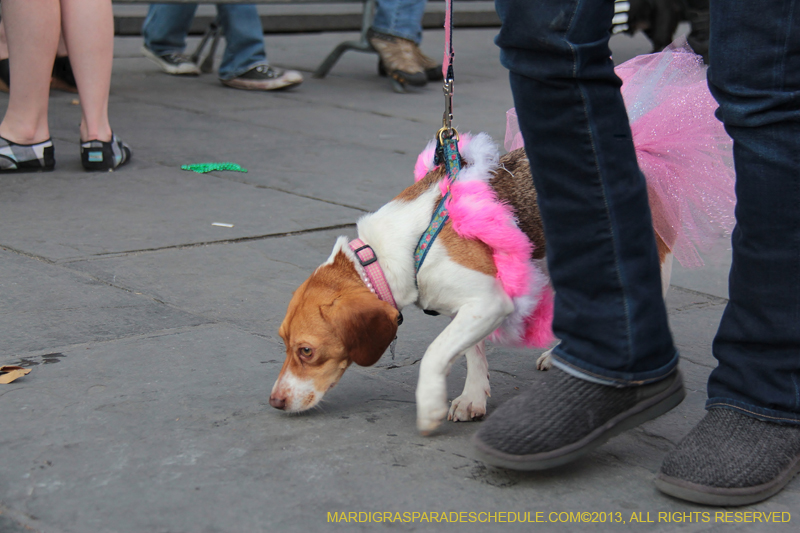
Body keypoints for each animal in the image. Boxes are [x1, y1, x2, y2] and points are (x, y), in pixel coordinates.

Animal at [270, 132, 676, 432]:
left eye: (306, 351)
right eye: (284, 343)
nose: (275, 401)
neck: (386, 253)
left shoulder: (488, 301)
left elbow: (436, 353)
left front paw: (430, 403)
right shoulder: (468, 307)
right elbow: (470, 352)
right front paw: (473, 397)